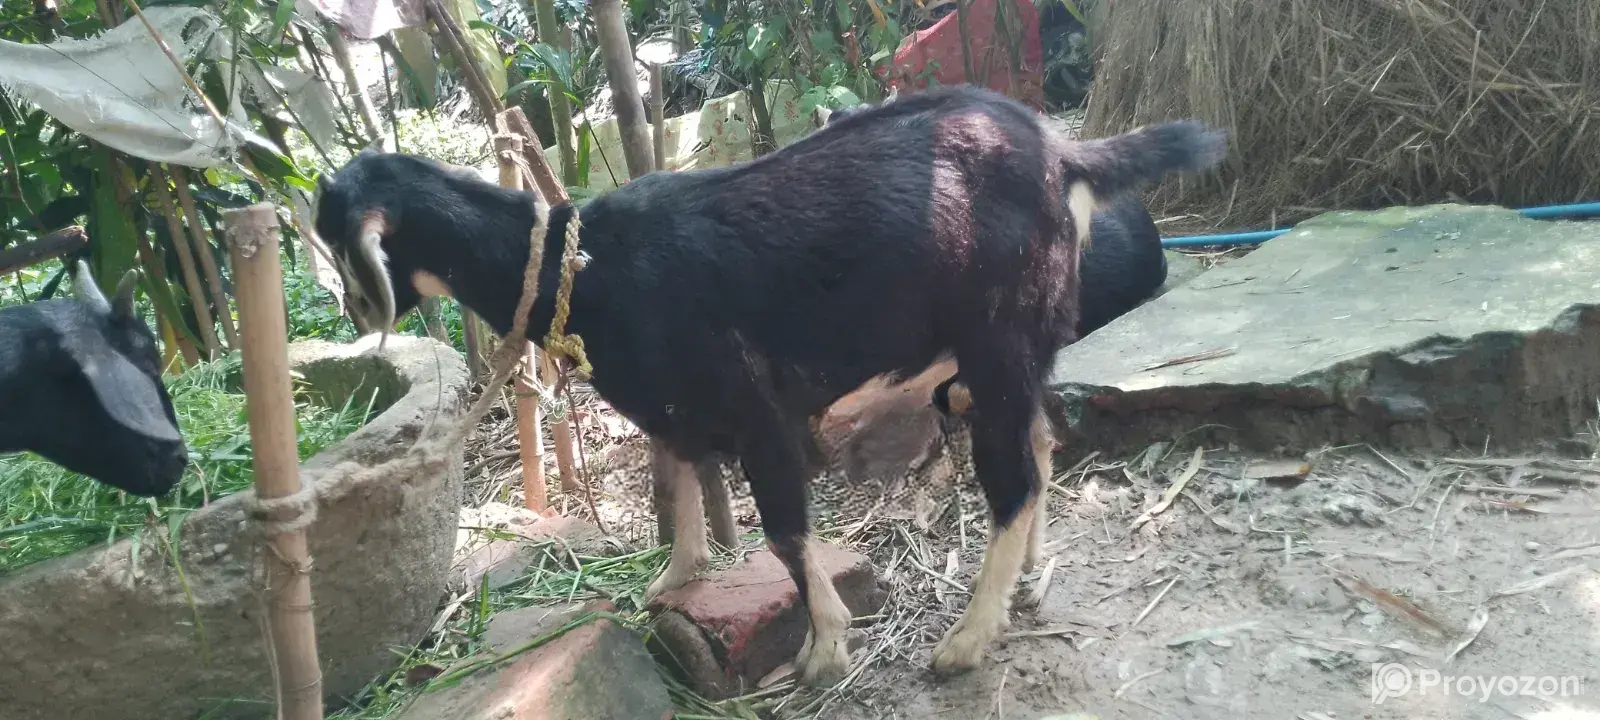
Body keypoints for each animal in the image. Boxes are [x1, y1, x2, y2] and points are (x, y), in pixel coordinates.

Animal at [311, 84, 1225, 684]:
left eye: (347, 248)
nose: (353, 312)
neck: (589, 266)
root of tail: (1062, 151)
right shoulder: (671, 406)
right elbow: (676, 485)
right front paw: (674, 580)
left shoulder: (756, 410)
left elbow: (784, 533)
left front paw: (824, 648)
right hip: (1016, 345)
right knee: (1036, 442)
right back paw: (1028, 577)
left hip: (998, 333)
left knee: (1011, 476)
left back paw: (966, 641)